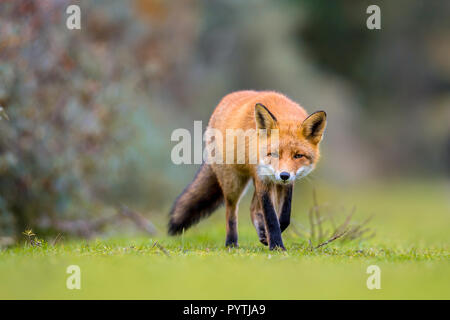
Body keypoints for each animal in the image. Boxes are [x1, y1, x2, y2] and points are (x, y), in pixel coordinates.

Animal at [170, 90, 326, 250]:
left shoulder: (285, 183)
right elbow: (271, 217)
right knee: (231, 210)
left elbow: (284, 216)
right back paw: (231, 242)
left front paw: (270, 237)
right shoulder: (263, 178)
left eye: (298, 155)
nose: (284, 175)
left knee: (253, 208)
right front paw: (276, 246)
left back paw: (261, 234)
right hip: (233, 183)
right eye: (274, 154)